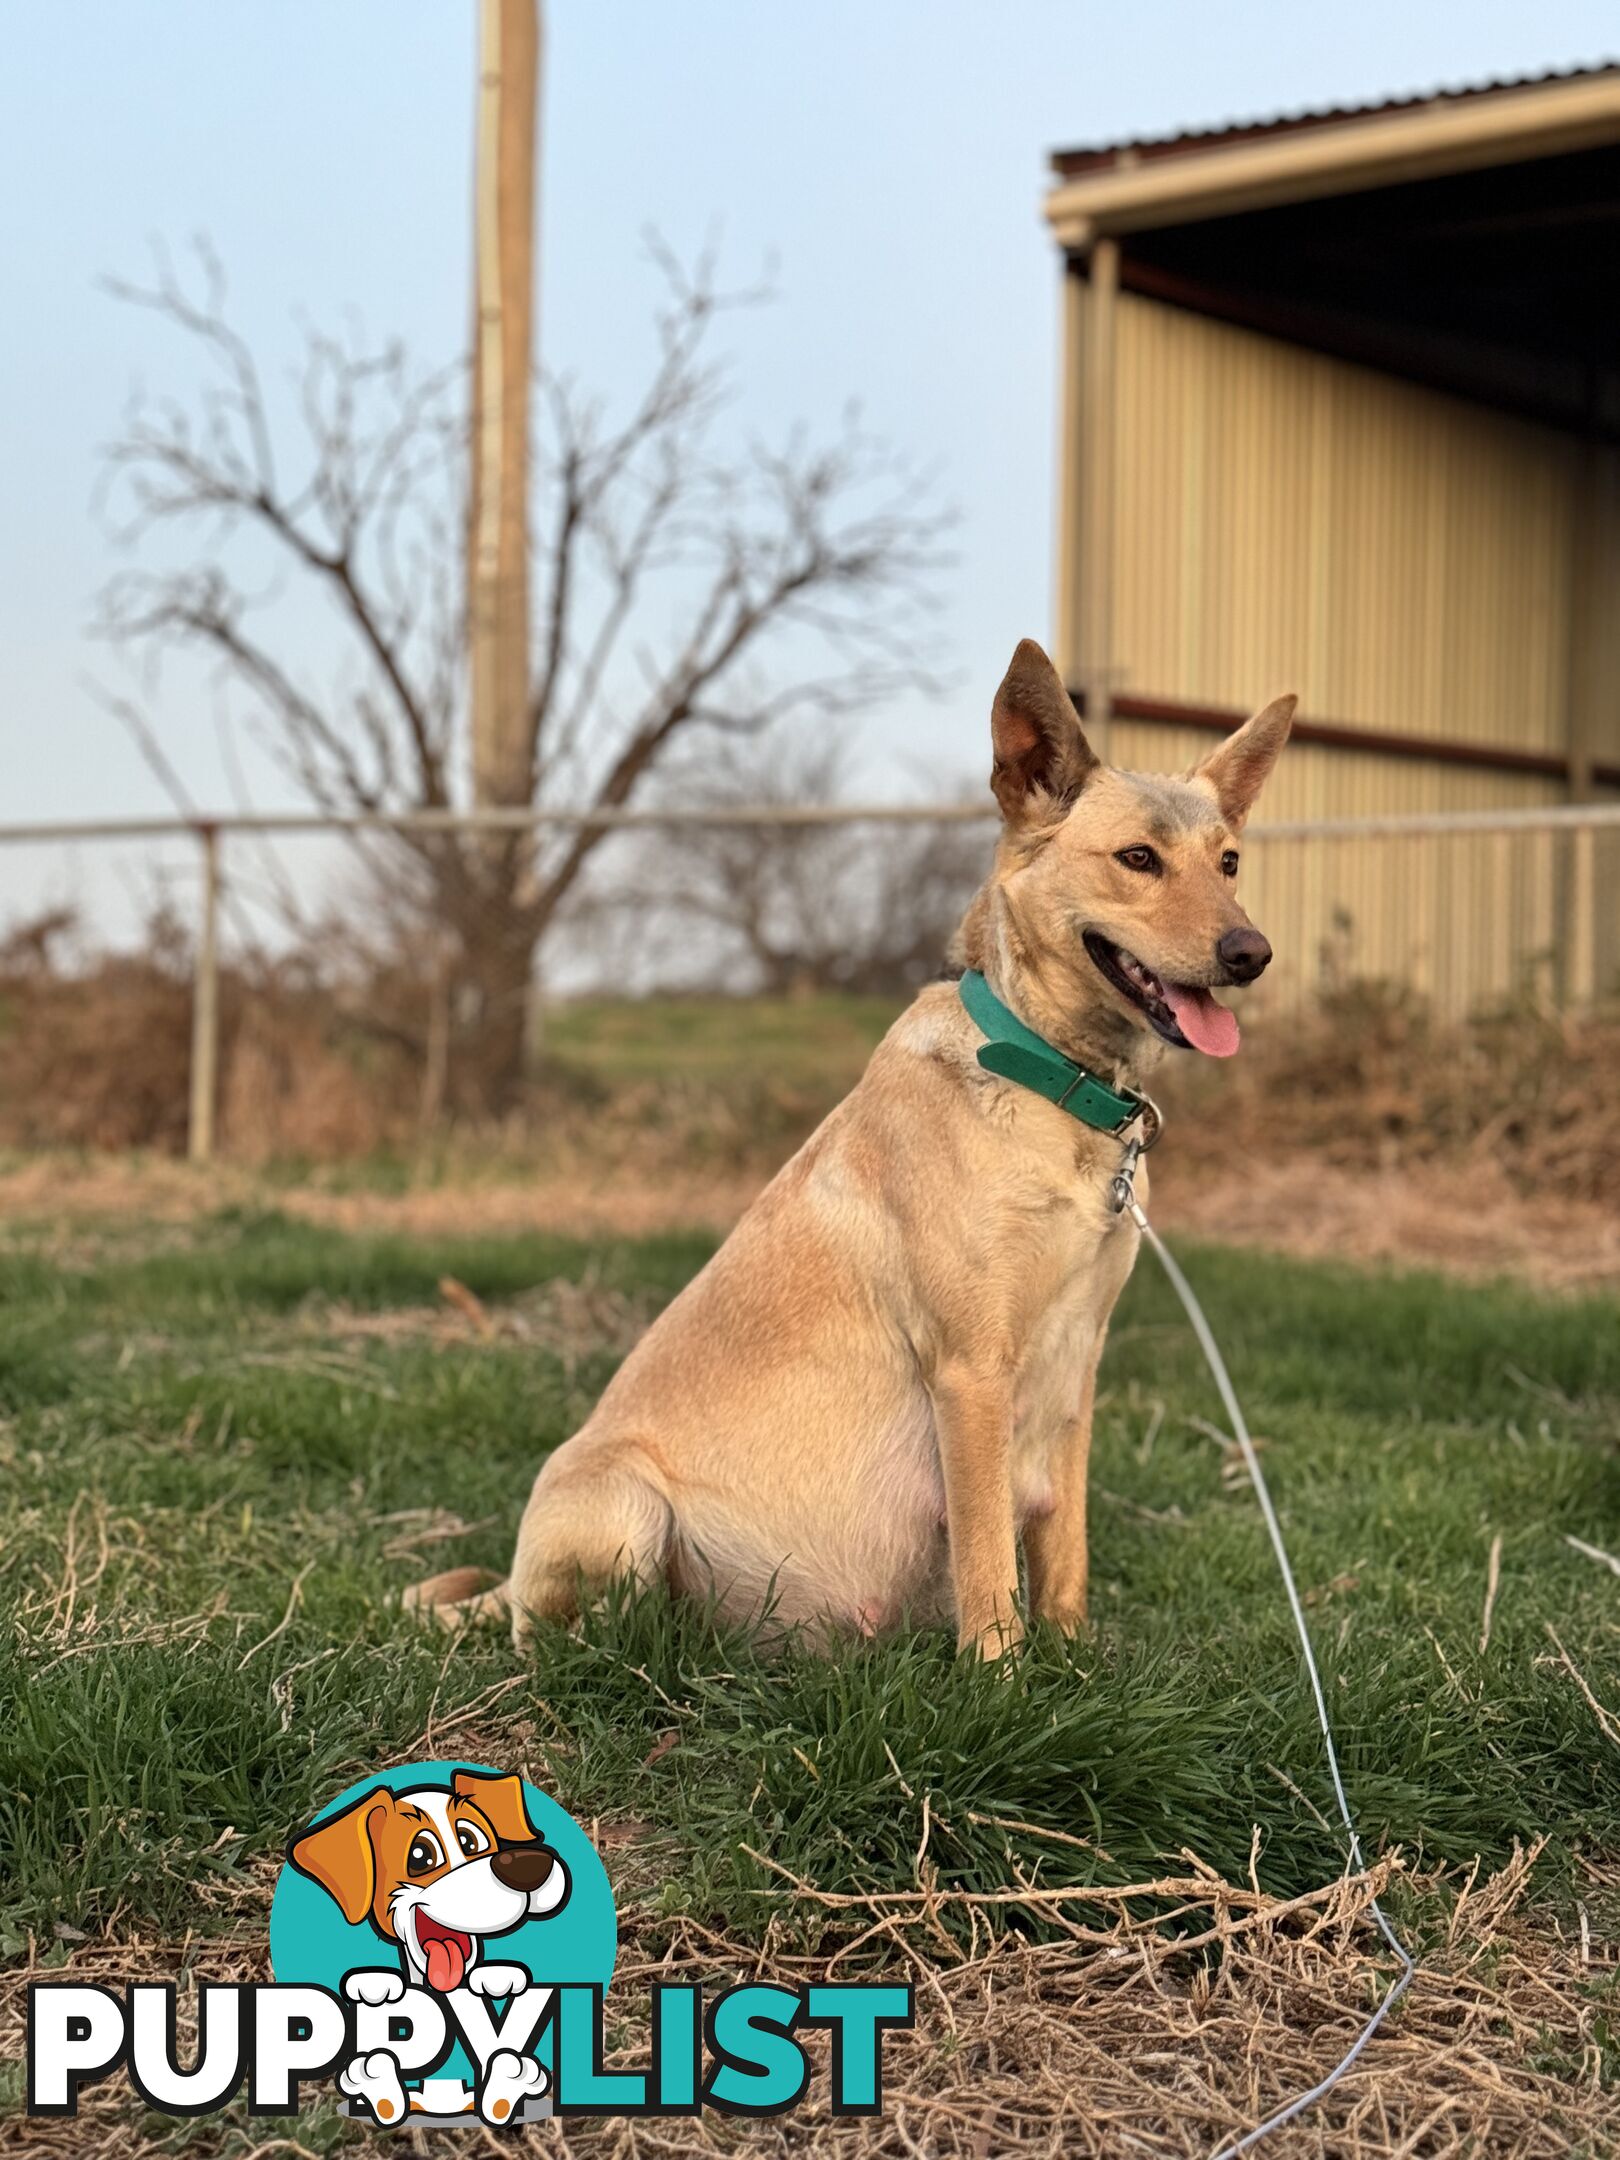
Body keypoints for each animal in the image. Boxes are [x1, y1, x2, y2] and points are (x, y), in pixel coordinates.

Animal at [419, 639, 1296, 1650]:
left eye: (1229, 861)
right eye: (1138, 859)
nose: (1251, 953)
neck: (1053, 1082)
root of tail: (509, 1586)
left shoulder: (1077, 1373)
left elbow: (1063, 1556)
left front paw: (1075, 1662)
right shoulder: (972, 1376)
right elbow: (991, 1566)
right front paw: (1001, 1677)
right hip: (622, 1508)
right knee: (568, 1639)